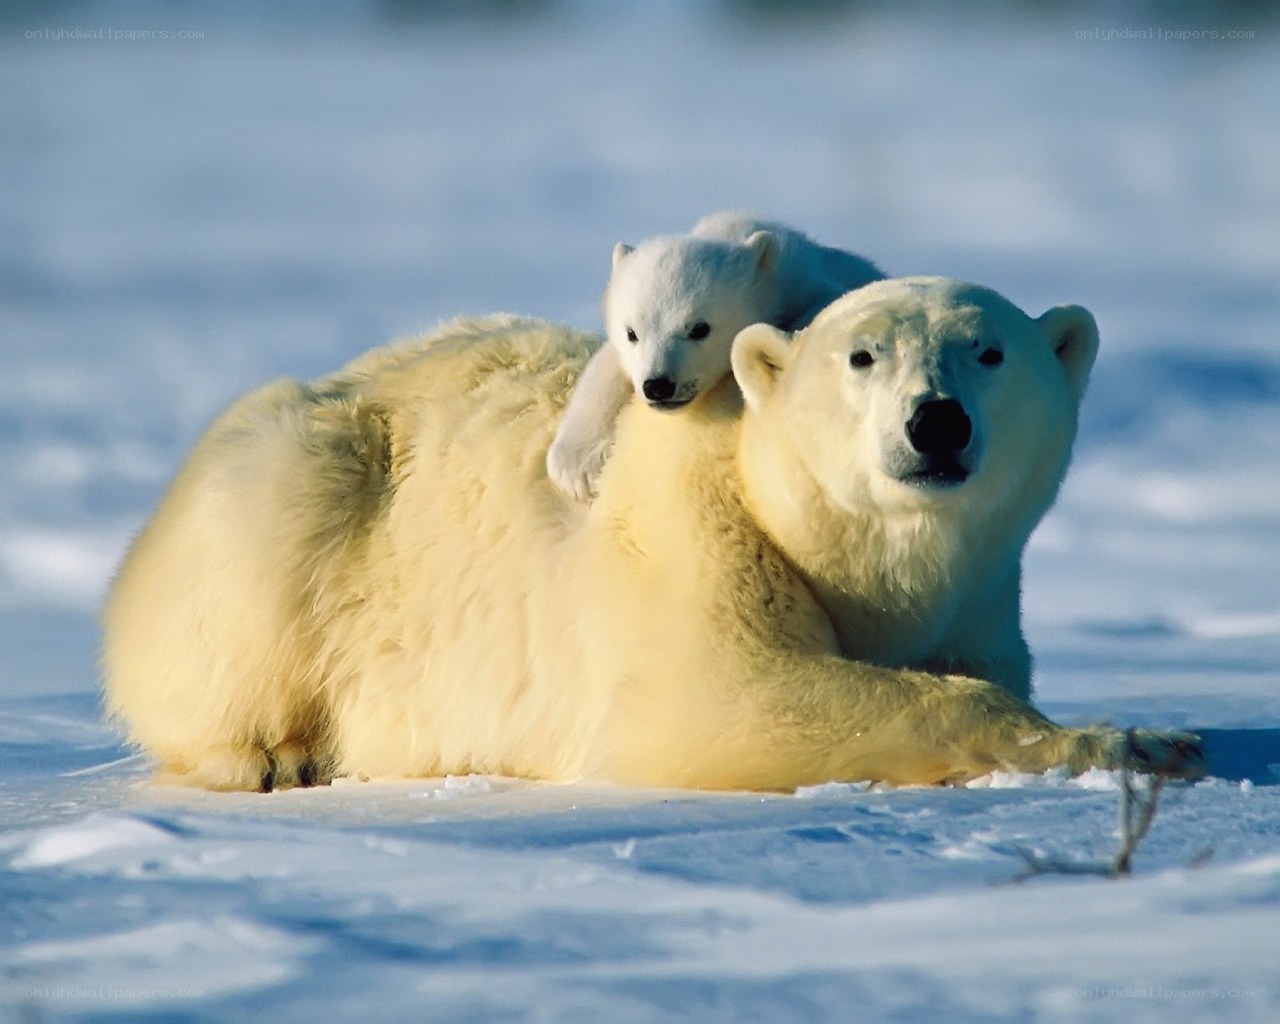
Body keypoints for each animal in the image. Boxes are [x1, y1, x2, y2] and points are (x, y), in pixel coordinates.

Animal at [101, 277, 1202, 793]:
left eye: (989, 350)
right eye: (861, 356)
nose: (936, 422)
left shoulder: (978, 596)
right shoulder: (692, 533)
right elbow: (728, 694)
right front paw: (1142, 738)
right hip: (295, 483)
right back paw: (274, 753)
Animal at [545, 211, 884, 502]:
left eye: (699, 328)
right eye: (632, 333)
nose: (658, 386)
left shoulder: (808, 281)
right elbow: (605, 366)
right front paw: (577, 467)